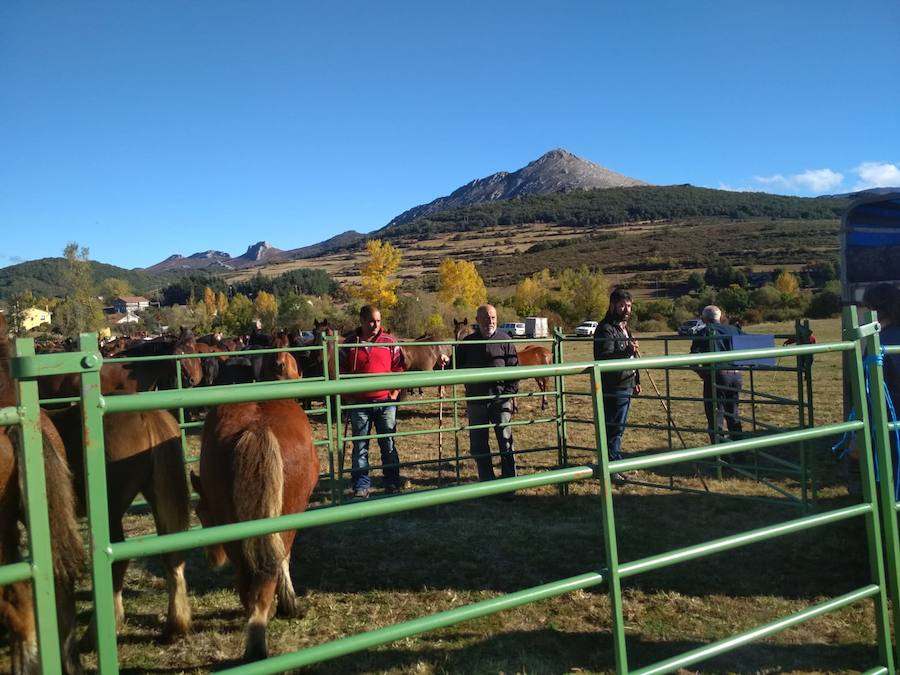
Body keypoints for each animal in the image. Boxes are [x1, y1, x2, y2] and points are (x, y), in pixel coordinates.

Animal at [49, 404, 192, 640]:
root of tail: (147, 415)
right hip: (157, 498)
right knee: (171, 556)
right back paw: (175, 625)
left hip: (111, 512)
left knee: (118, 562)